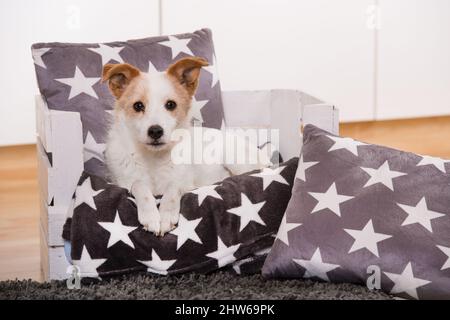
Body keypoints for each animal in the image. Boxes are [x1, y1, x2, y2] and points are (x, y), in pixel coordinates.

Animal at [102, 57, 270, 235]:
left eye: (171, 105)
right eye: (138, 106)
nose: (155, 131)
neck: (154, 157)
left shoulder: (185, 183)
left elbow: (173, 187)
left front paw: (166, 214)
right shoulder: (123, 184)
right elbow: (139, 185)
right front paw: (150, 215)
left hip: (236, 159)